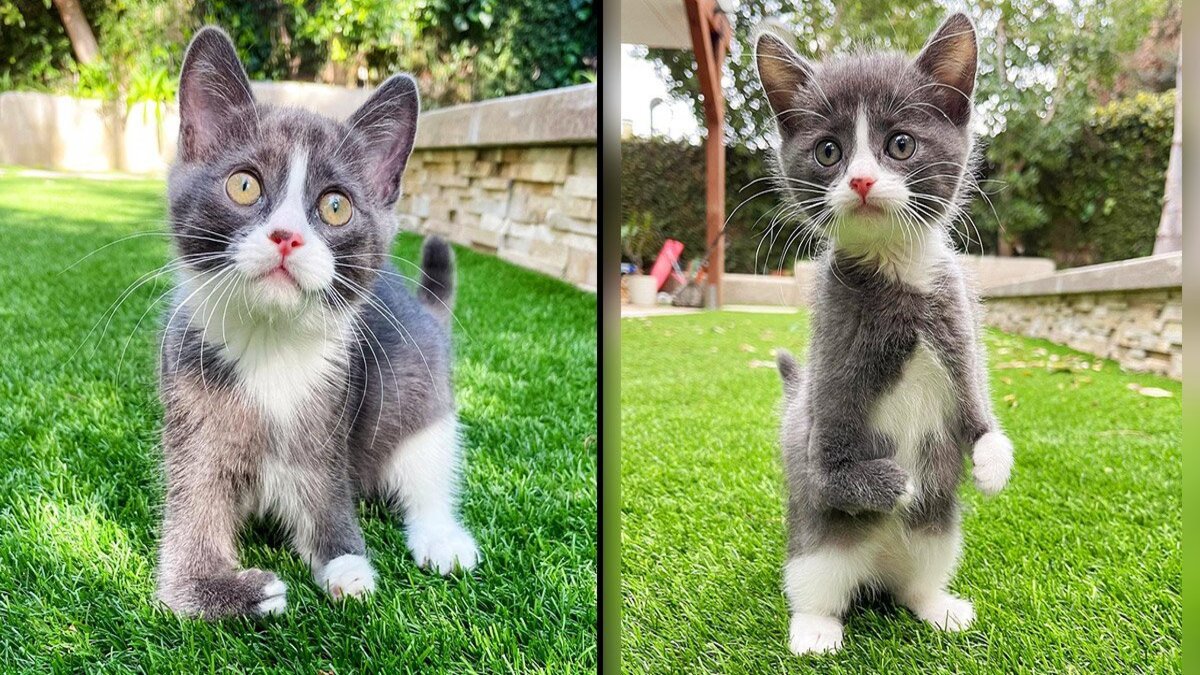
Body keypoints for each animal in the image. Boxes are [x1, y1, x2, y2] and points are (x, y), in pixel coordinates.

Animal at [154, 24, 477, 614]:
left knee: (426, 457)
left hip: (418, 386)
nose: (288, 236)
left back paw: (442, 537)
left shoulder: (333, 403)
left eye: (335, 206)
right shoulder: (189, 397)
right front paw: (216, 588)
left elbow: (325, 484)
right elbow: (194, 496)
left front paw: (344, 560)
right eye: (244, 185)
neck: (271, 341)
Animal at [758, 11, 1012, 653]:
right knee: (815, 584)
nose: (863, 181)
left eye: (900, 144)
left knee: (917, 578)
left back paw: (936, 605)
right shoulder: (832, 351)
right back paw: (816, 630)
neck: (899, 277)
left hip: (936, 540)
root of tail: (875, 574)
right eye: (829, 151)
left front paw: (991, 463)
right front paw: (895, 483)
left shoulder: (956, 320)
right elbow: (827, 470)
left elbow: (978, 416)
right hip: (815, 551)